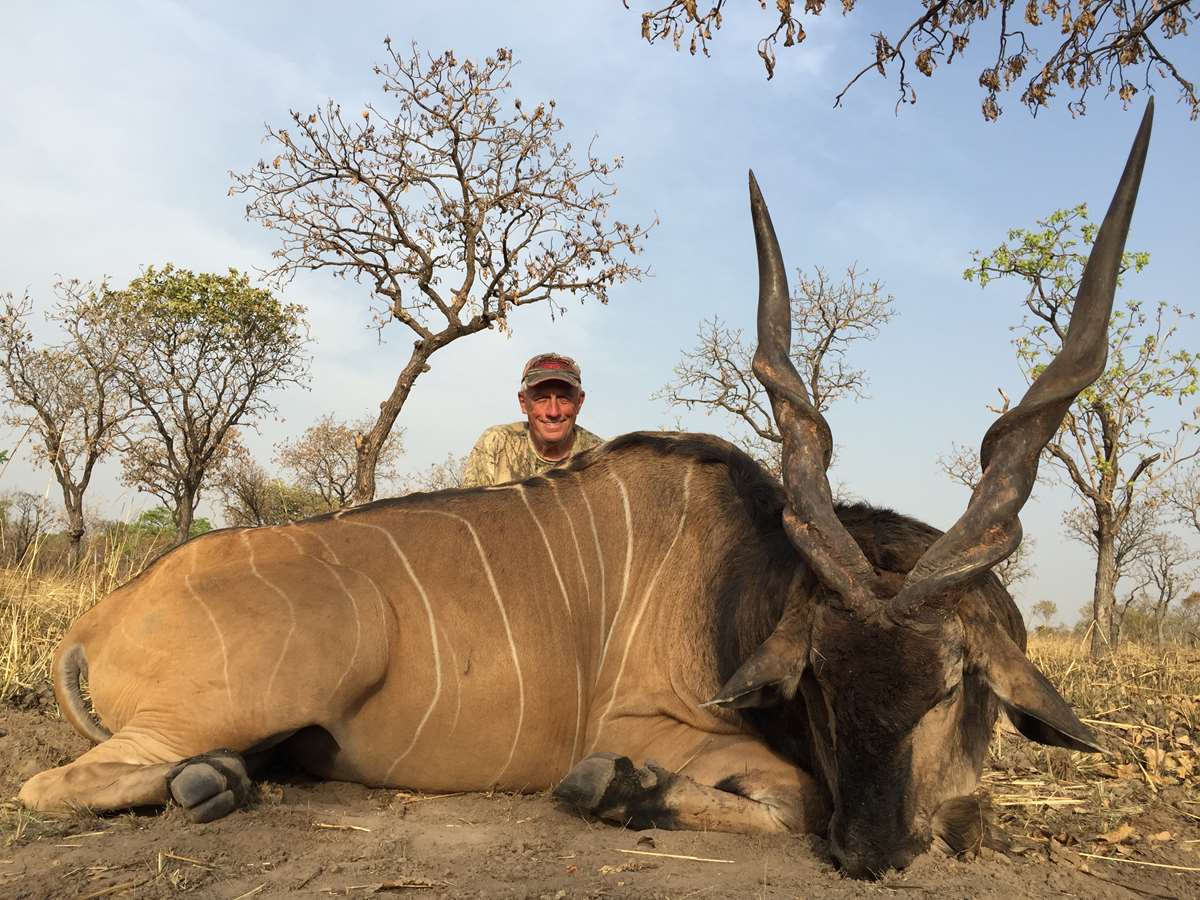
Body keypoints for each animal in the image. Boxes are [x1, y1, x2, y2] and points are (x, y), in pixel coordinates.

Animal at [14, 102, 1147, 878]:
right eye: (818, 681)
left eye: (951, 684)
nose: (872, 852)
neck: (740, 578)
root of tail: (102, 617)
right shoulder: (667, 729)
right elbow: (782, 798)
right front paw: (618, 791)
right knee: (51, 783)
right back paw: (211, 780)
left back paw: (229, 779)